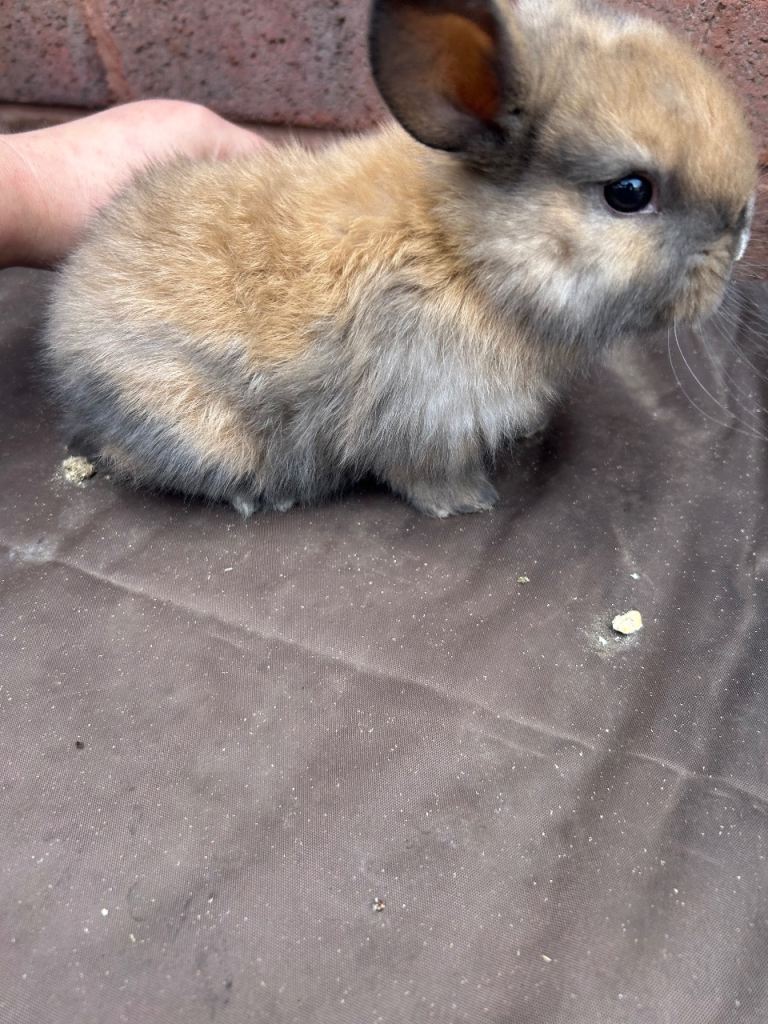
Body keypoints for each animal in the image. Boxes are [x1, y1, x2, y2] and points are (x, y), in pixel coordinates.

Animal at [44, 0, 757, 518]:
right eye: (628, 191)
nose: (744, 230)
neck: (464, 252)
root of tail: (65, 335)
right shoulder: (421, 415)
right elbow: (422, 473)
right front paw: (469, 503)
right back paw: (259, 495)